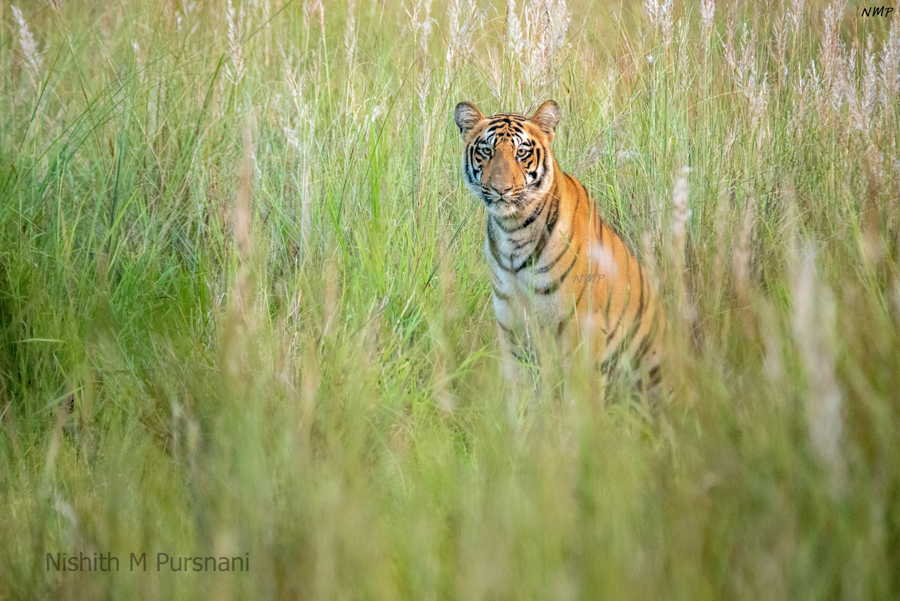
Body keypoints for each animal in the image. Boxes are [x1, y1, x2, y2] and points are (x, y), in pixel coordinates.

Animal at [454, 99, 664, 392]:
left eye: (521, 152)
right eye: (487, 151)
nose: (501, 189)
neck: (513, 232)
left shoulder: (581, 327)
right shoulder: (512, 325)